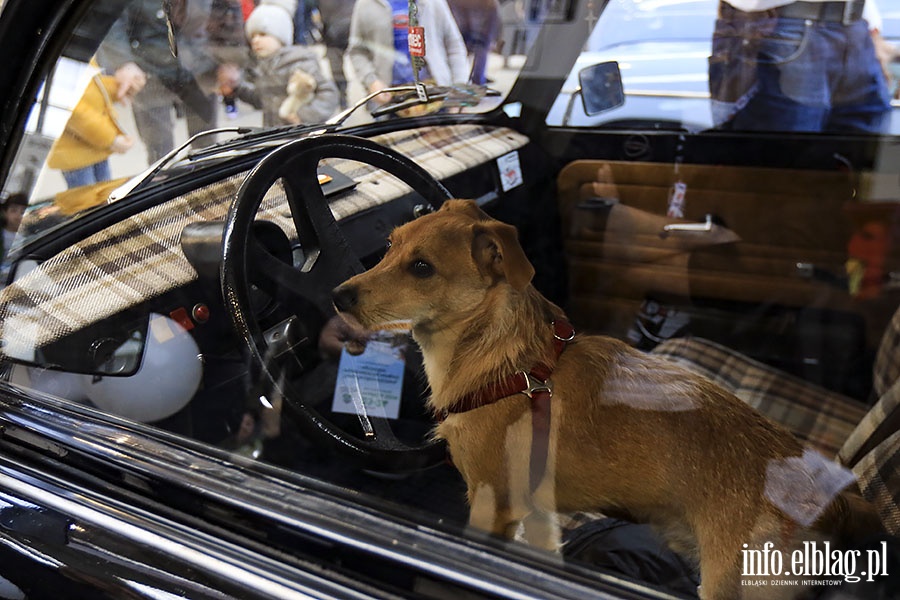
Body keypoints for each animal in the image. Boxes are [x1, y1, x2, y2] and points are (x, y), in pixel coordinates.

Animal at [330, 200, 880, 596]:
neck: (506, 362)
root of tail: (837, 502)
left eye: (422, 268)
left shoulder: (489, 506)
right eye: (389, 245)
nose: (336, 295)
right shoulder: (536, 510)